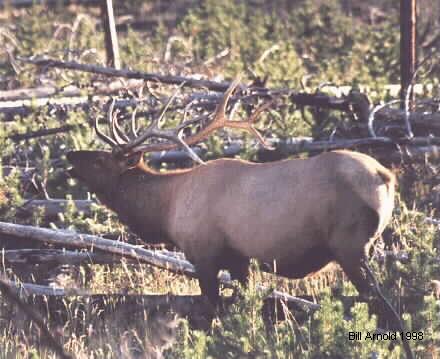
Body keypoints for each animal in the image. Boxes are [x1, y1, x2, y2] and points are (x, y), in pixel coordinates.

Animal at [66, 80, 412, 358]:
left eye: (99, 160)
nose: (70, 154)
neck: (166, 209)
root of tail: (385, 176)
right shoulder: (240, 260)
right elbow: (251, 312)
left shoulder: (204, 254)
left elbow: (210, 315)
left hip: (349, 245)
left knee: (387, 308)